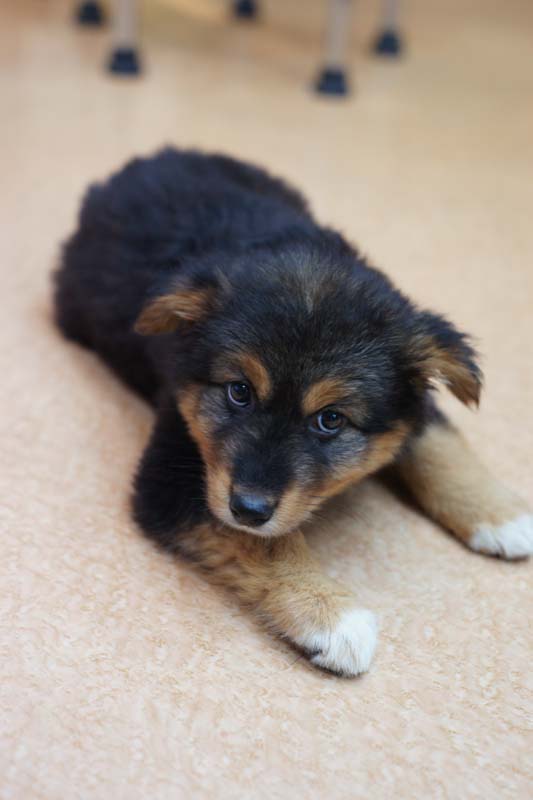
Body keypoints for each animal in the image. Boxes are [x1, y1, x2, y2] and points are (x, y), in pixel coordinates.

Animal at [54, 148, 533, 677]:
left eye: (331, 419)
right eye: (239, 391)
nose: (248, 508)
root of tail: (143, 161)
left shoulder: (411, 405)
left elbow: (440, 446)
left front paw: (501, 514)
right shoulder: (172, 471)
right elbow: (266, 544)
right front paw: (332, 616)